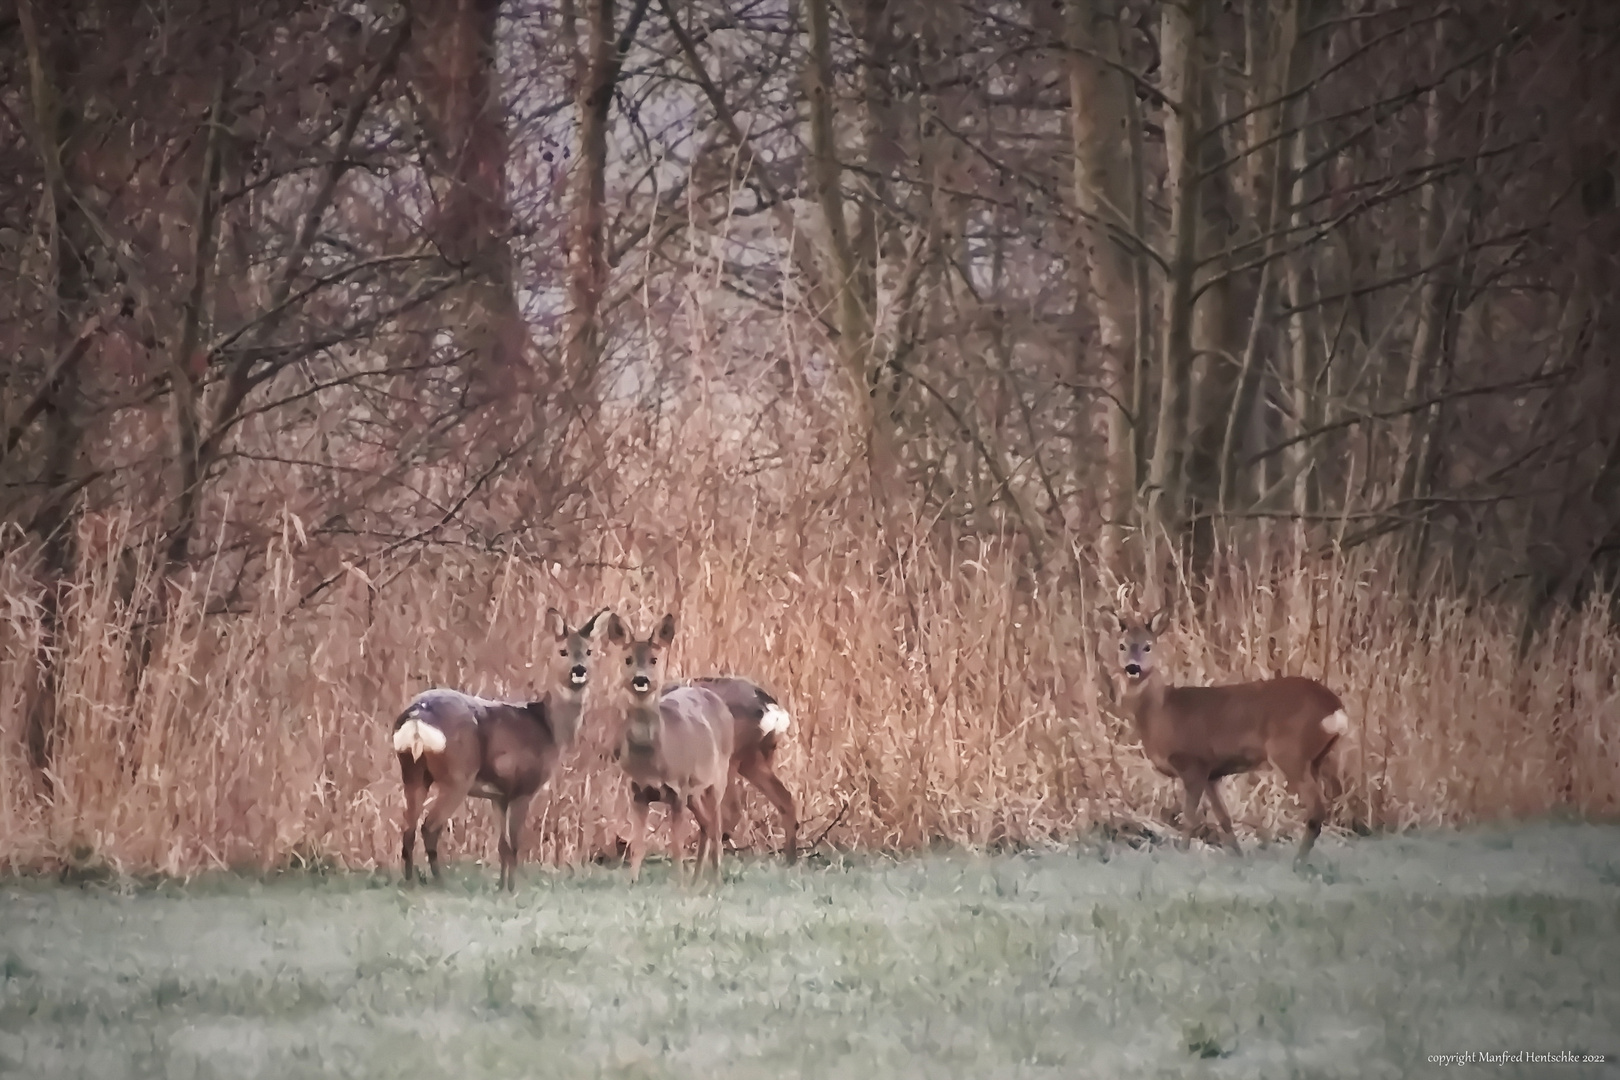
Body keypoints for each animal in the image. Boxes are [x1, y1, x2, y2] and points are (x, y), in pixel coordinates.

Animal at [393, 605, 609, 893]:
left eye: (589, 651)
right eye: (563, 651)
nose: (579, 670)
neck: (549, 729)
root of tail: (417, 715)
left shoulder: (498, 796)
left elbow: (502, 845)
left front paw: (501, 887)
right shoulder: (524, 787)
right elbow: (515, 844)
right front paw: (512, 889)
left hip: (412, 772)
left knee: (407, 829)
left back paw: (410, 882)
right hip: (457, 775)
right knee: (429, 826)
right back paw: (440, 881)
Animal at [609, 612, 735, 880]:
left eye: (654, 659)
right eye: (628, 659)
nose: (641, 679)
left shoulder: (678, 789)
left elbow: (677, 845)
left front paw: (678, 881)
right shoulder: (637, 790)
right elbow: (637, 845)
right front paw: (632, 881)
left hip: (717, 778)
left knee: (716, 824)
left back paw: (716, 876)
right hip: (694, 791)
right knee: (706, 824)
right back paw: (698, 878)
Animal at [1101, 608, 1354, 867]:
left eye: (1148, 646)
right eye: (1122, 645)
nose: (1133, 668)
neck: (1162, 713)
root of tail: (1335, 707)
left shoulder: (1193, 762)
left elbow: (1189, 819)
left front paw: (1182, 855)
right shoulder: (1212, 773)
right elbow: (1224, 820)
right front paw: (1240, 858)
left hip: (1290, 753)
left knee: (1316, 811)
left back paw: (1297, 864)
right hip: (1316, 759)